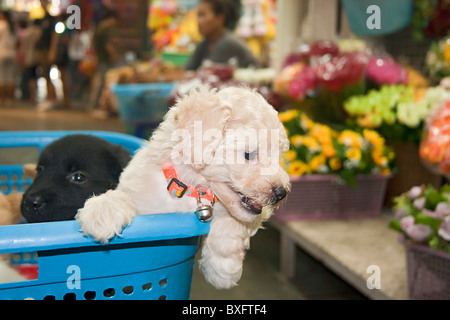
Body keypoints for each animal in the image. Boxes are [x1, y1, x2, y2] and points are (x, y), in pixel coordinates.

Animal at [75, 85, 290, 290]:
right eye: (248, 154)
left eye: (279, 155)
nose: (281, 193)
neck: (190, 189)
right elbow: (121, 196)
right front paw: (102, 213)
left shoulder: (250, 215)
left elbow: (235, 223)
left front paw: (223, 269)